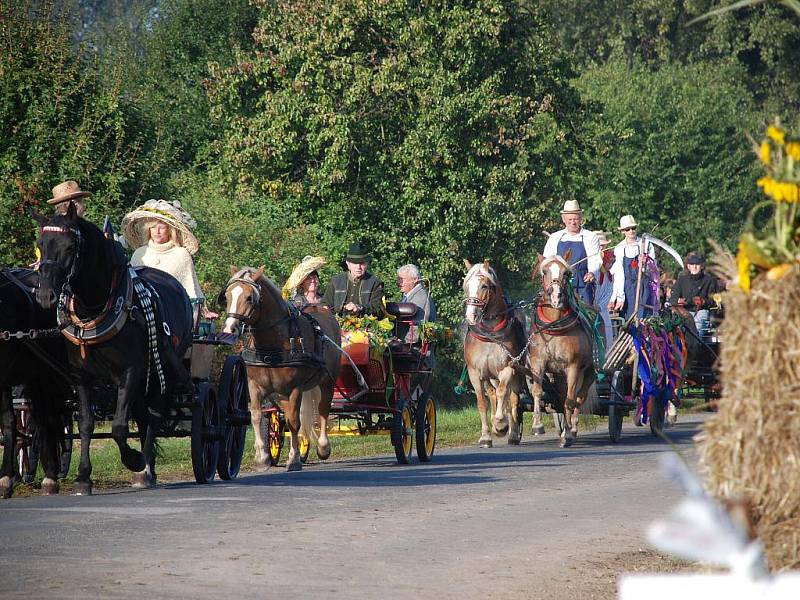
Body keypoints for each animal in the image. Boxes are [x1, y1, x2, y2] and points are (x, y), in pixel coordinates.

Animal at [34, 204, 194, 494]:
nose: (45, 296)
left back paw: (145, 468)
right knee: (143, 417)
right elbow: (86, 424)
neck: (95, 308)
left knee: (153, 416)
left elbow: (119, 426)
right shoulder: (81, 377)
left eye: (70, 247)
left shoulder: (129, 372)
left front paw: (134, 460)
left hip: (162, 372)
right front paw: (83, 476)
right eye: (41, 245)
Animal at [220, 266, 342, 468]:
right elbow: (256, 416)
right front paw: (262, 457)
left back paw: (323, 447)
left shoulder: (295, 388)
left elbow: (294, 422)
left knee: (323, 409)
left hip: (327, 381)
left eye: (249, 298)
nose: (229, 329)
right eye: (227, 295)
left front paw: (293, 459)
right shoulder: (254, 385)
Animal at [462, 260, 532, 448]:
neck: (490, 336)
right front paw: (486, 436)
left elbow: (503, 394)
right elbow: (482, 402)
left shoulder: (508, 368)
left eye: (484, 286)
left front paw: (501, 424)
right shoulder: (475, 373)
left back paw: (512, 432)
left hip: (516, 373)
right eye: (466, 286)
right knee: (494, 395)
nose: (470, 315)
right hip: (490, 376)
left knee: (512, 399)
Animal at [528, 253, 596, 446]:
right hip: (558, 376)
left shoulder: (573, 367)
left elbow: (571, 400)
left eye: (566, 273)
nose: (556, 296)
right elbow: (538, 392)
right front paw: (537, 426)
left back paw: (571, 428)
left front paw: (568, 432)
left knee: (579, 397)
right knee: (561, 397)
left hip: (587, 372)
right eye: (544, 271)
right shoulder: (537, 363)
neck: (554, 327)